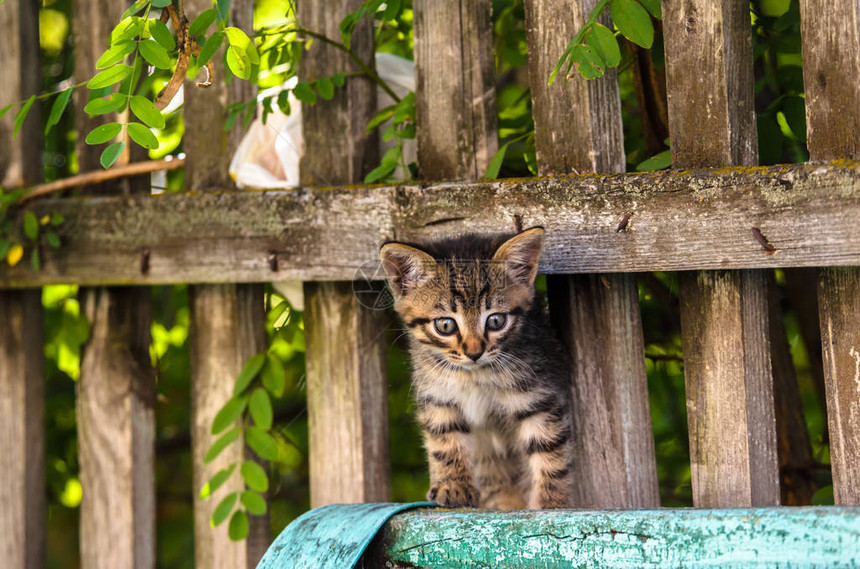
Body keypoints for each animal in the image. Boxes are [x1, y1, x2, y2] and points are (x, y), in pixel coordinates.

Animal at [382, 229, 572, 508]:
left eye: (496, 321)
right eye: (445, 326)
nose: (474, 352)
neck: (474, 375)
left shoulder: (539, 397)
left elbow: (550, 452)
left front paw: (553, 505)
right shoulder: (438, 396)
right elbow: (445, 441)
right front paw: (453, 486)